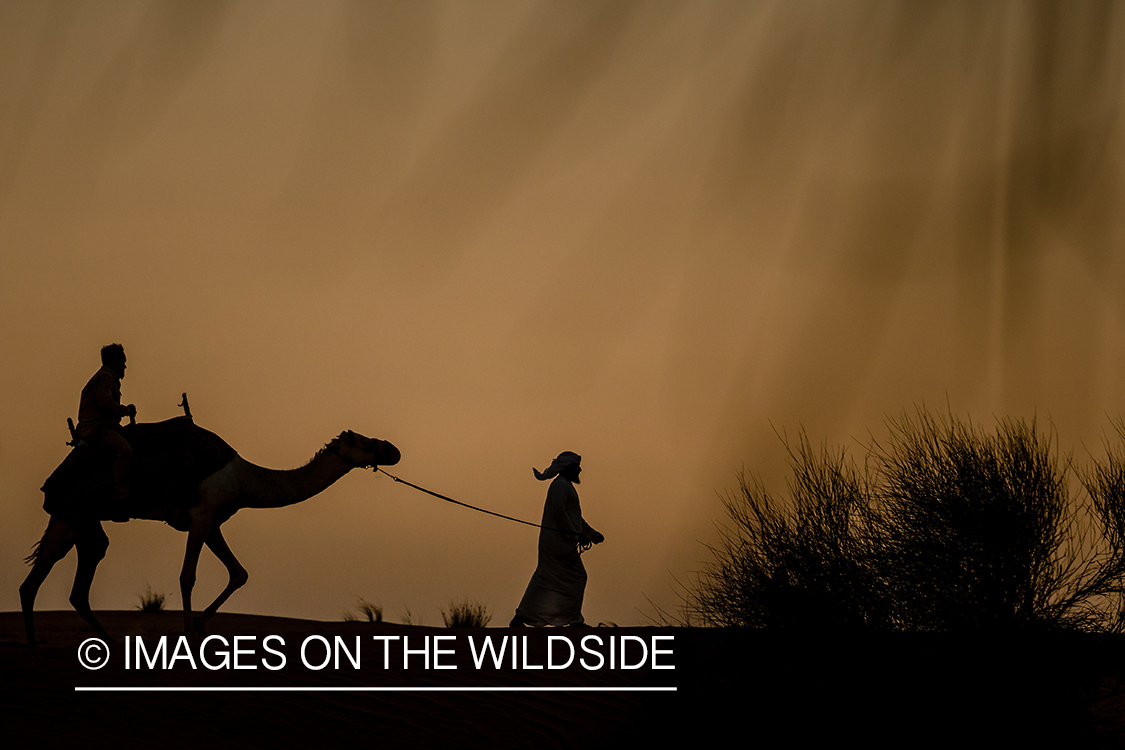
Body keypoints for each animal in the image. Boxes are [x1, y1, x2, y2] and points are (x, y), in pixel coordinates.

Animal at [17, 427, 400, 647]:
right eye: (365, 441)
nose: (393, 450)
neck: (247, 480)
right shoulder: (201, 517)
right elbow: (188, 576)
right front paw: (189, 633)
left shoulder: (214, 523)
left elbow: (239, 573)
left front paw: (200, 624)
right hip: (74, 515)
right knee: (51, 576)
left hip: (77, 520)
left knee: (59, 577)